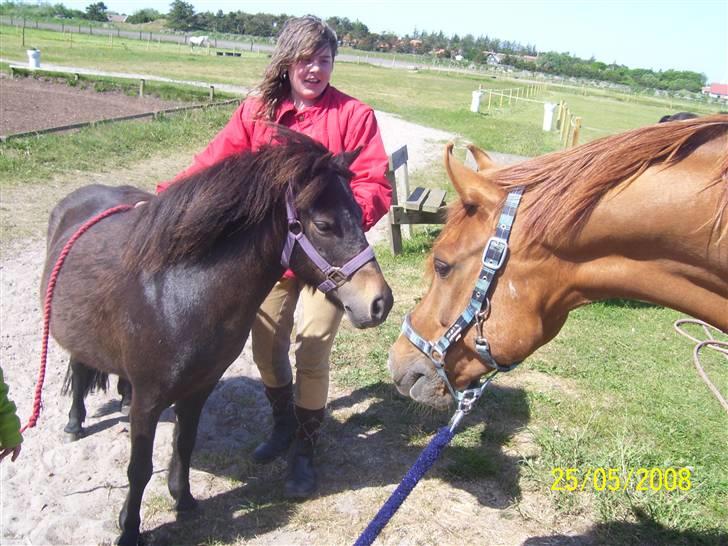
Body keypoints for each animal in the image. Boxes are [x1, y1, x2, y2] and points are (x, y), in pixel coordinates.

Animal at [41, 132, 392, 544]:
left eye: (358, 212)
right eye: (323, 224)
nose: (380, 302)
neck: (176, 295)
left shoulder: (199, 388)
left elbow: (184, 443)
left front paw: (184, 500)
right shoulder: (149, 400)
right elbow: (139, 469)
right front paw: (128, 530)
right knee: (80, 367)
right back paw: (74, 423)